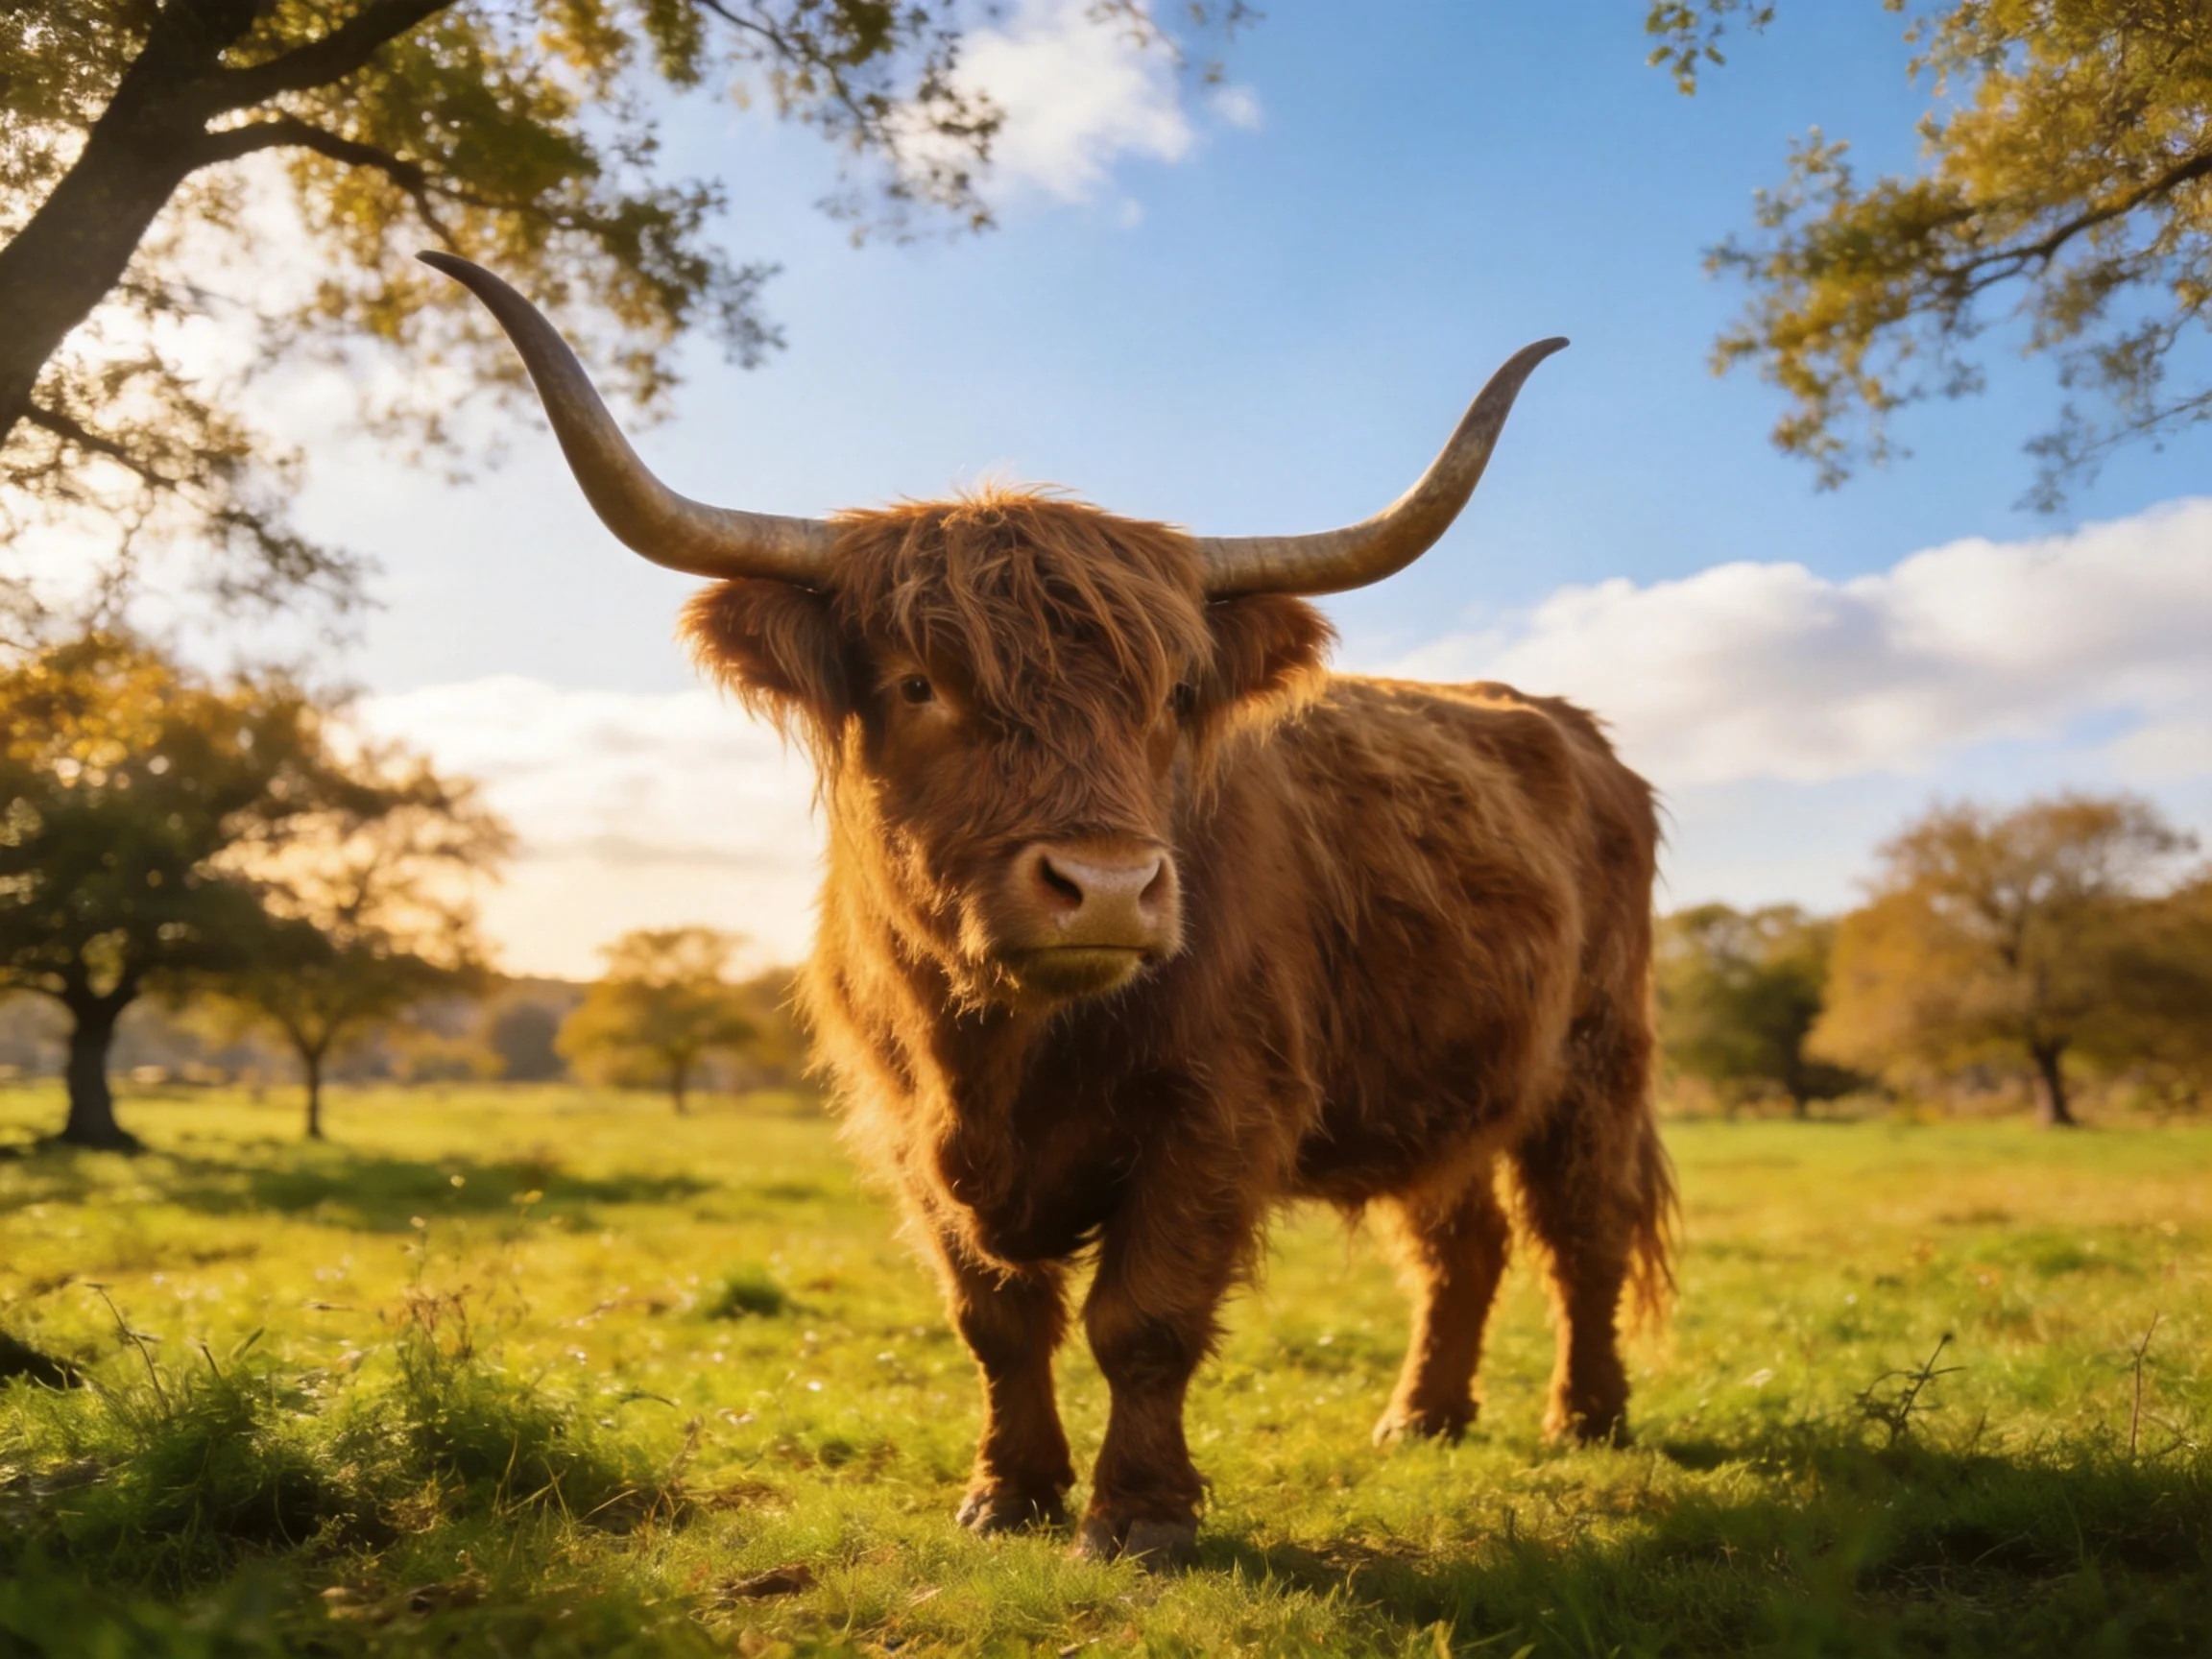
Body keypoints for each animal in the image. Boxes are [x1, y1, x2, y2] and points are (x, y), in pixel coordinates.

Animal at [424, 253, 1674, 1568]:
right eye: (919, 684)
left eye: (1171, 696)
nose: (1108, 886)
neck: (999, 1049)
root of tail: (1567, 727)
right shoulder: (906, 1128)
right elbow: (997, 1319)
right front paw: (1008, 1492)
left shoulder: (1218, 1112)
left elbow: (1144, 1320)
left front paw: (1140, 1516)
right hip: (1448, 1079)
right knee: (1460, 1243)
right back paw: (1421, 1418)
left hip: (1596, 1061)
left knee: (1581, 1230)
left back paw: (1584, 1418)